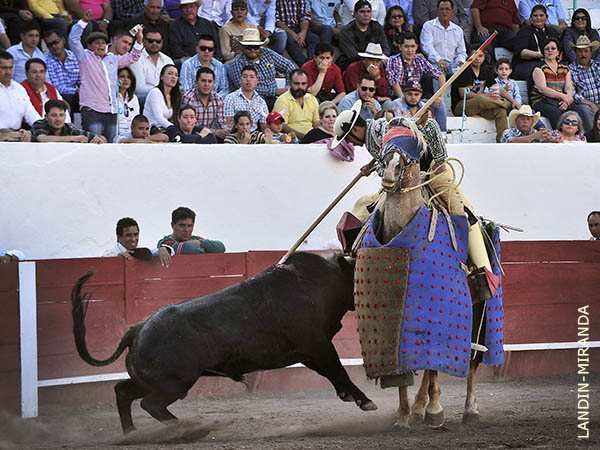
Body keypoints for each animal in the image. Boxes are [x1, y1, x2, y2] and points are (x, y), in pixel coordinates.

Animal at [72, 253, 378, 432]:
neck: (320, 282)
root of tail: (137, 329)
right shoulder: (317, 345)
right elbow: (338, 370)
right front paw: (365, 401)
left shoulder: (311, 351)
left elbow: (334, 374)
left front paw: (351, 396)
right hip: (176, 381)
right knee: (151, 404)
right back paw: (183, 428)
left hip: (152, 379)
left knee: (123, 391)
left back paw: (132, 433)